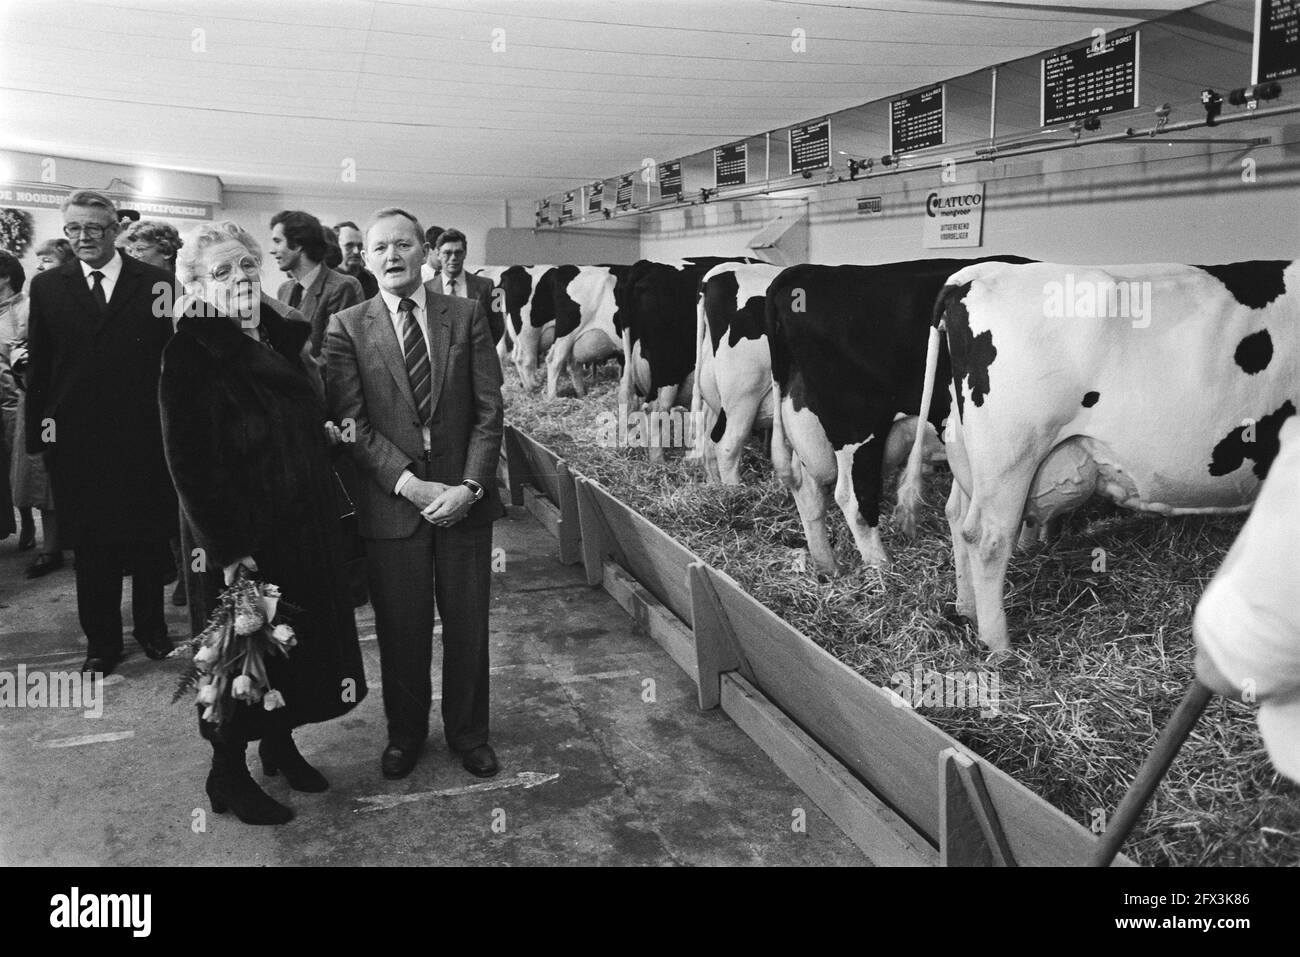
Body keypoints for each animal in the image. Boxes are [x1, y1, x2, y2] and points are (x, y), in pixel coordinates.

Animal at [764, 256, 1029, 574]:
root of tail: (806, 270)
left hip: (806, 423)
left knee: (808, 491)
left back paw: (829, 567)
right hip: (858, 428)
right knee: (854, 499)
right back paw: (882, 568)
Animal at [899, 261, 1300, 650]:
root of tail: (978, 272)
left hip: (967, 452)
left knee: (957, 516)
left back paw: (965, 610)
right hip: (1011, 455)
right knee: (987, 539)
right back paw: (999, 646)